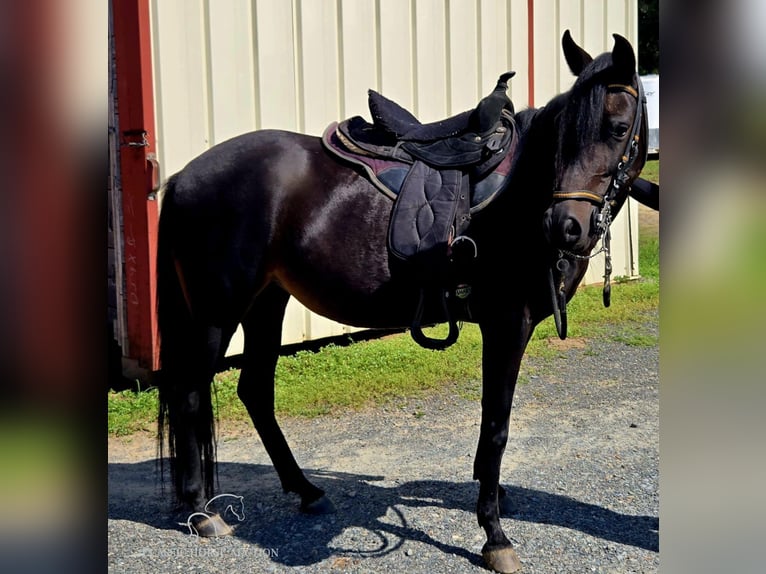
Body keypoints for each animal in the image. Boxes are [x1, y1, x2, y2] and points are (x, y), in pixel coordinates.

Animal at [156, 32, 656, 574]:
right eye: (566, 134)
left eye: (619, 128)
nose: (565, 226)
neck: (518, 200)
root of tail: (182, 177)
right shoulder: (507, 325)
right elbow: (496, 426)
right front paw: (494, 535)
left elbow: (491, 428)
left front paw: (493, 498)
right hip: (216, 312)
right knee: (189, 394)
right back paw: (202, 511)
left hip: (267, 301)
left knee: (254, 391)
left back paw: (305, 490)